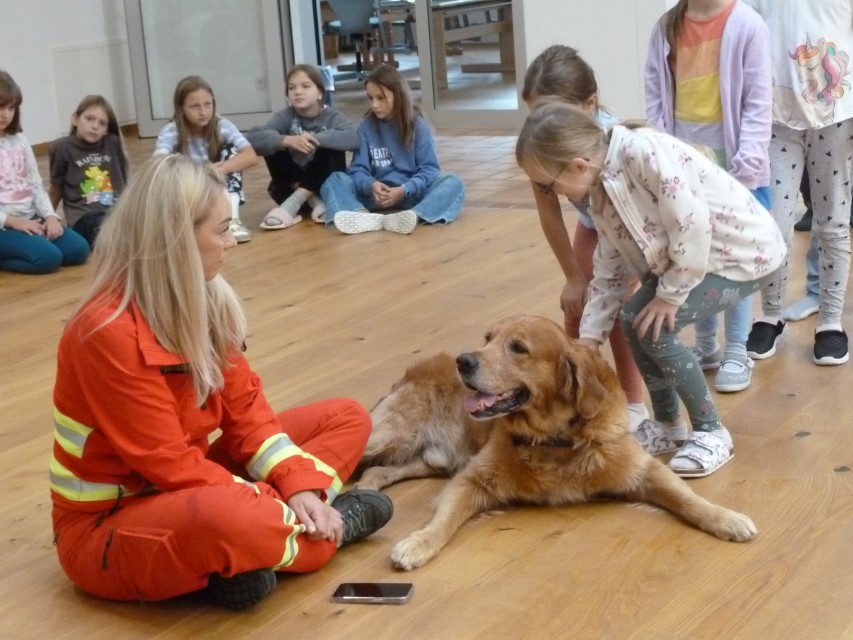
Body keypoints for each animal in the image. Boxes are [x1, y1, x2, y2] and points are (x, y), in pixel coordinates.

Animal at [357, 315, 757, 570]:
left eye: (518, 347)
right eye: (488, 339)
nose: (464, 361)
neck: (554, 439)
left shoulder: (642, 470)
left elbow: (687, 499)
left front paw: (726, 518)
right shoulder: (469, 480)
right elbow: (444, 520)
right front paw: (418, 543)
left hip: (430, 459)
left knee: (377, 472)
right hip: (387, 435)